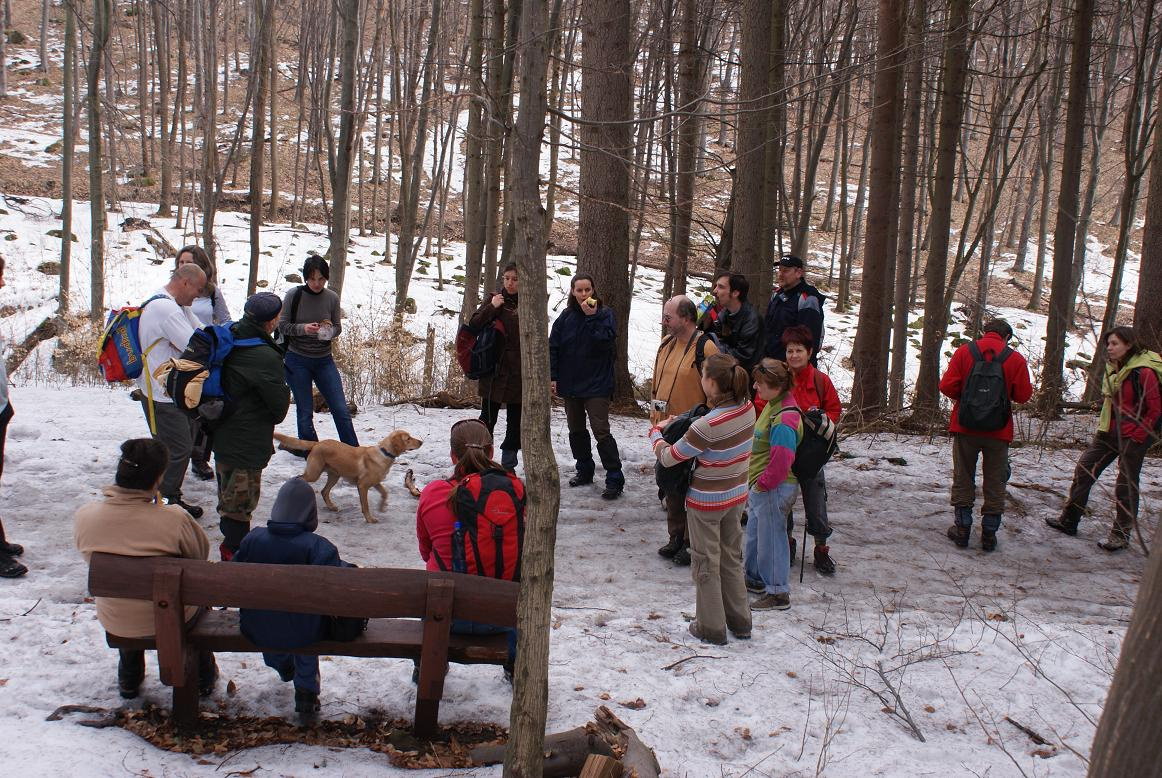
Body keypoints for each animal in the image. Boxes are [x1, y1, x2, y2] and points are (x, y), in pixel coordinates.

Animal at [274, 431, 425, 524]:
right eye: (408, 439)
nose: (421, 442)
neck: (384, 453)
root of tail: (317, 443)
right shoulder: (363, 485)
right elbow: (365, 505)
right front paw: (370, 519)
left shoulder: (376, 482)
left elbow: (385, 493)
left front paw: (382, 507)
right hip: (313, 474)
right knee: (299, 478)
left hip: (334, 475)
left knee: (324, 491)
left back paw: (332, 507)